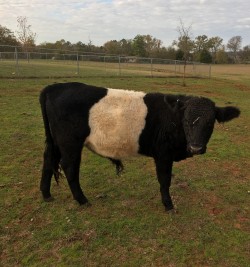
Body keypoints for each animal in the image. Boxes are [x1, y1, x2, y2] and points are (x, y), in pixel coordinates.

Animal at [39, 82, 240, 211]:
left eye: (210, 123)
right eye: (186, 120)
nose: (196, 148)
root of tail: (54, 87)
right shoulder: (163, 154)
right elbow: (165, 180)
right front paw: (168, 205)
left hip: (55, 141)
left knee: (48, 160)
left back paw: (46, 194)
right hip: (70, 143)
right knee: (69, 167)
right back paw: (82, 200)